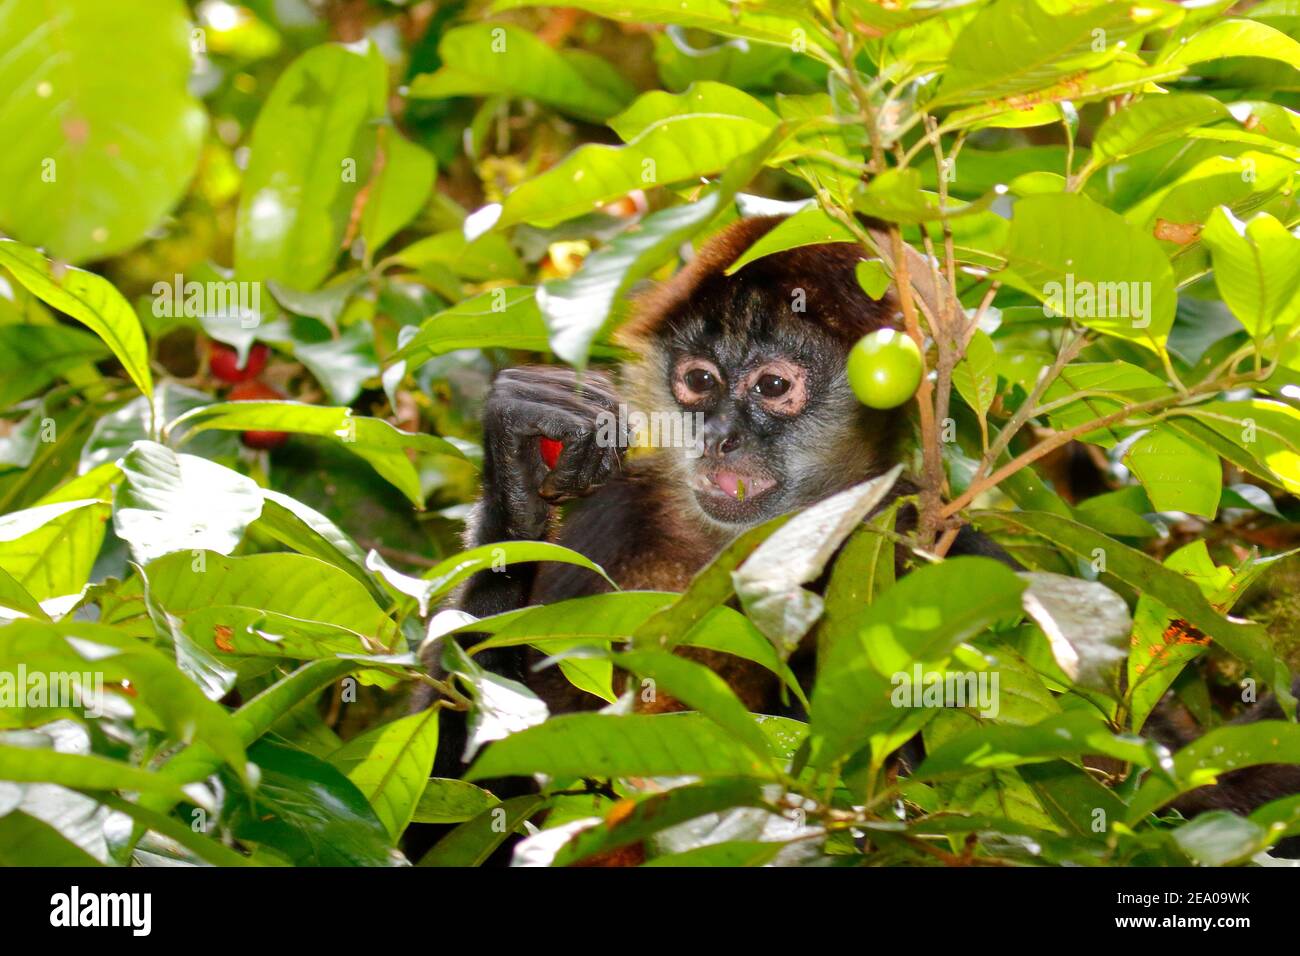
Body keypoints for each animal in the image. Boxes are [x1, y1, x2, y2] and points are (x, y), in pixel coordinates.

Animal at [416, 214, 1300, 858]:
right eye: (699, 381)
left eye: (773, 387)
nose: (722, 439)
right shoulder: (617, 513)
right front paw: (519, 463)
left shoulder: (941, 544)